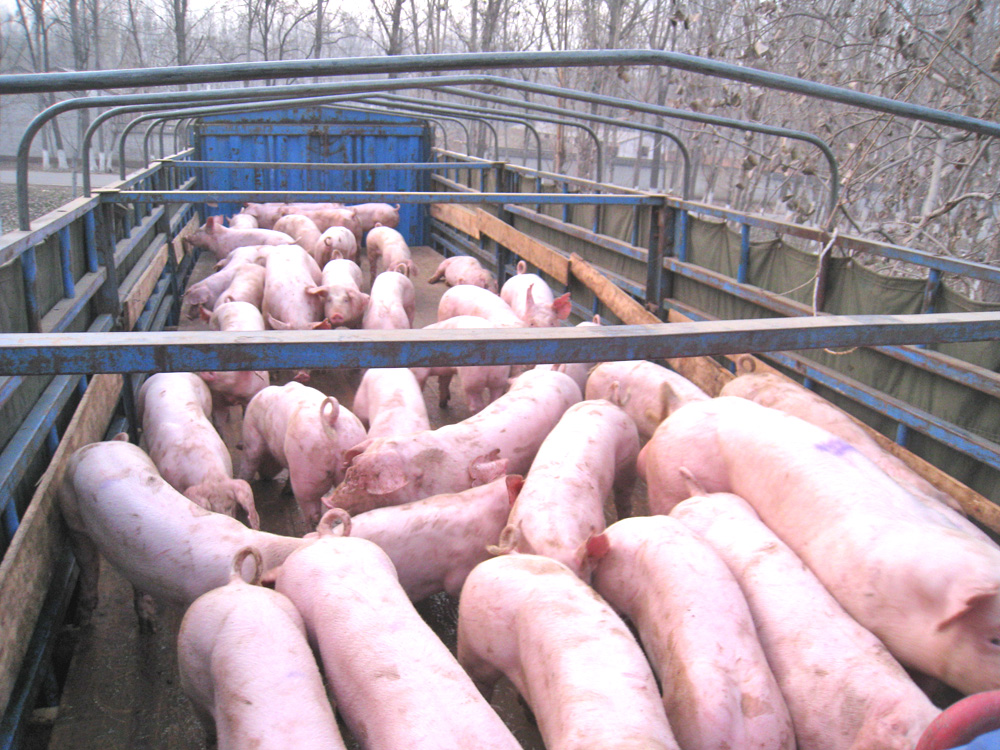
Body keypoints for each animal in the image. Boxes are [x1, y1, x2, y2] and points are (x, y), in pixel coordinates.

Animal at [240, 382, 367, 525]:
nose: (265, 478)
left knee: (313, 513)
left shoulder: (252, 437)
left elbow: (248, 465)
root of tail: (330, 418)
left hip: (306, 472)